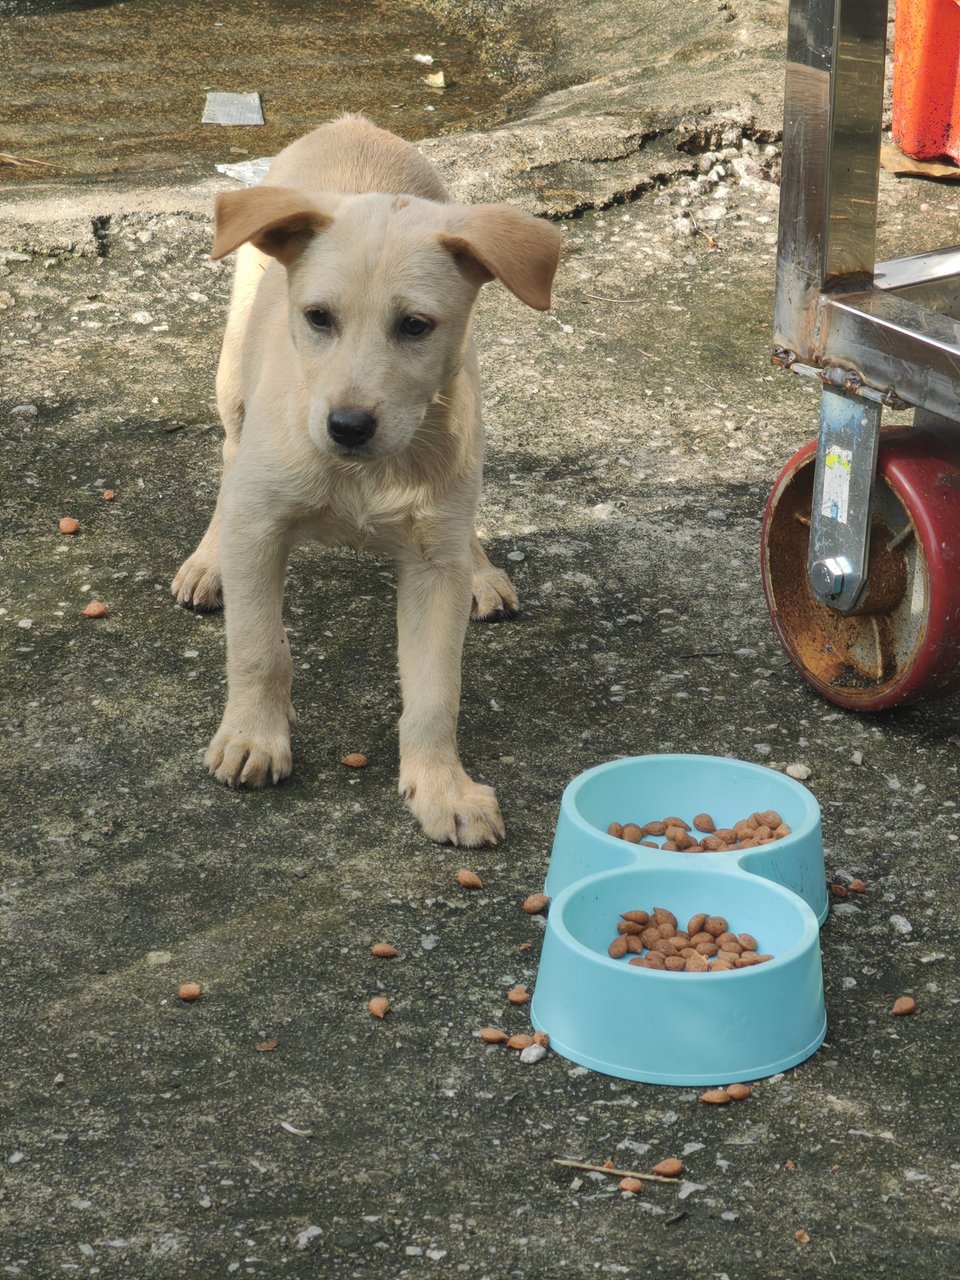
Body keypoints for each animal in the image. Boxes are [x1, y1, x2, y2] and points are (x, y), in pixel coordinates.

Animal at [172, 115, 563, 844]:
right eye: (318, 317)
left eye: (414, 326)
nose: (348, 425)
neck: (367, 471)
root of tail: (354, 124)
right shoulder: (260, 528)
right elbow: (258, 647)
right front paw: (254, 736)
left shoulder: (432, 569)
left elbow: (436, 692)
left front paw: (441, 787)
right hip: (234, 373)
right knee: (230, 458)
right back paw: (208, 561)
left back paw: (481, 568)